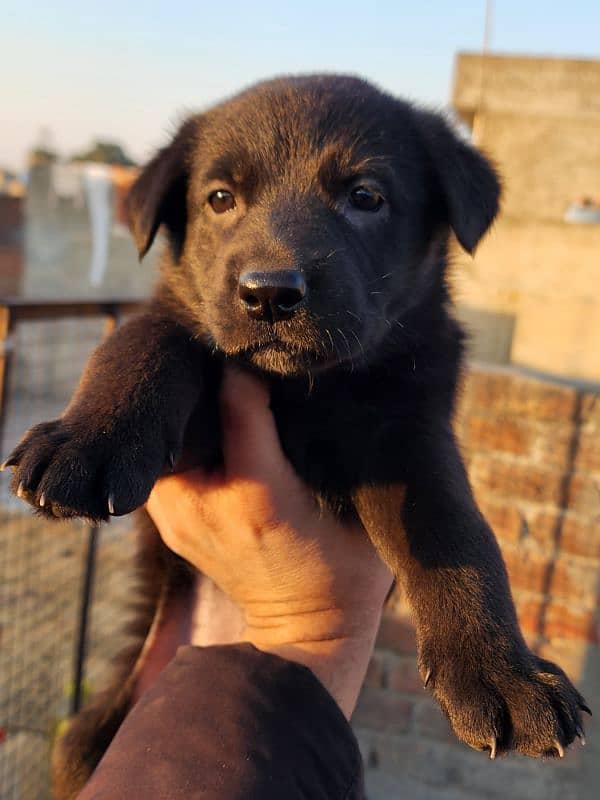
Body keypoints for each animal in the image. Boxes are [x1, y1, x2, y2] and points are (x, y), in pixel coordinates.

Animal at [3, 75, 584, 792]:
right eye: (220, 199)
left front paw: (504, 671)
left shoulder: (409, 426)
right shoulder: (200, 403)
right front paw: (85, 442)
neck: (303, 388)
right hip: (83, 738)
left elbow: (454, 523)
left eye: (365, 196)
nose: (270, 293)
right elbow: (149, 338)